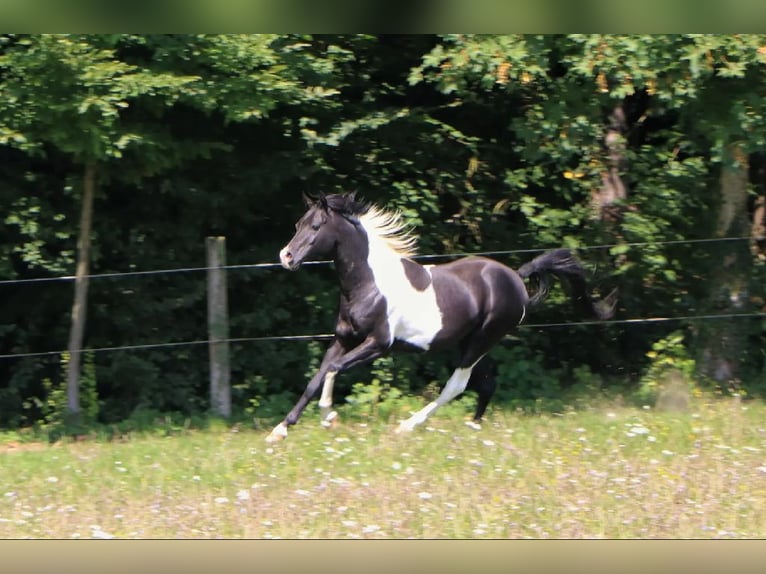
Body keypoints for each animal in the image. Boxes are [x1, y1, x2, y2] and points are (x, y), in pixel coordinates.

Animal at [265, 192, 616, 442]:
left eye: (316, 227)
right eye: (297, 224)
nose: (286, 256)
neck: (369, 284)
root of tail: (516, 277)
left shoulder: (378, 344)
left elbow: (333, 369)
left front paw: (330, 417)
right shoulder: (344, 338)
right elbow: (317, 375)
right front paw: (280, 430)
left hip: (481, 340)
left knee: (457, 386)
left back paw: (408, 426)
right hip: (472, 342)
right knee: (486, 384)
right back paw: (473, 429)